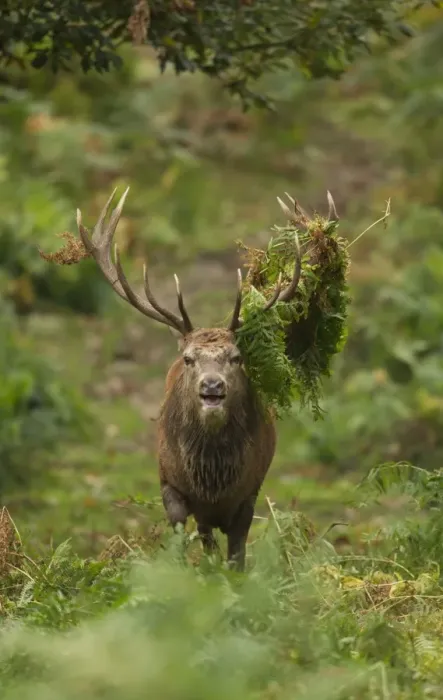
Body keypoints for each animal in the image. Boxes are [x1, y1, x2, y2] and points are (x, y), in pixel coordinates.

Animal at [68, 187, 303, 570]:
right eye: (189, 359)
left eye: (237, 358)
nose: (212, 386)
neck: (213, 481)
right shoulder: (169, 482)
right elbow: (182, 539)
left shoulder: (250, 490)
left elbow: (237, 553)